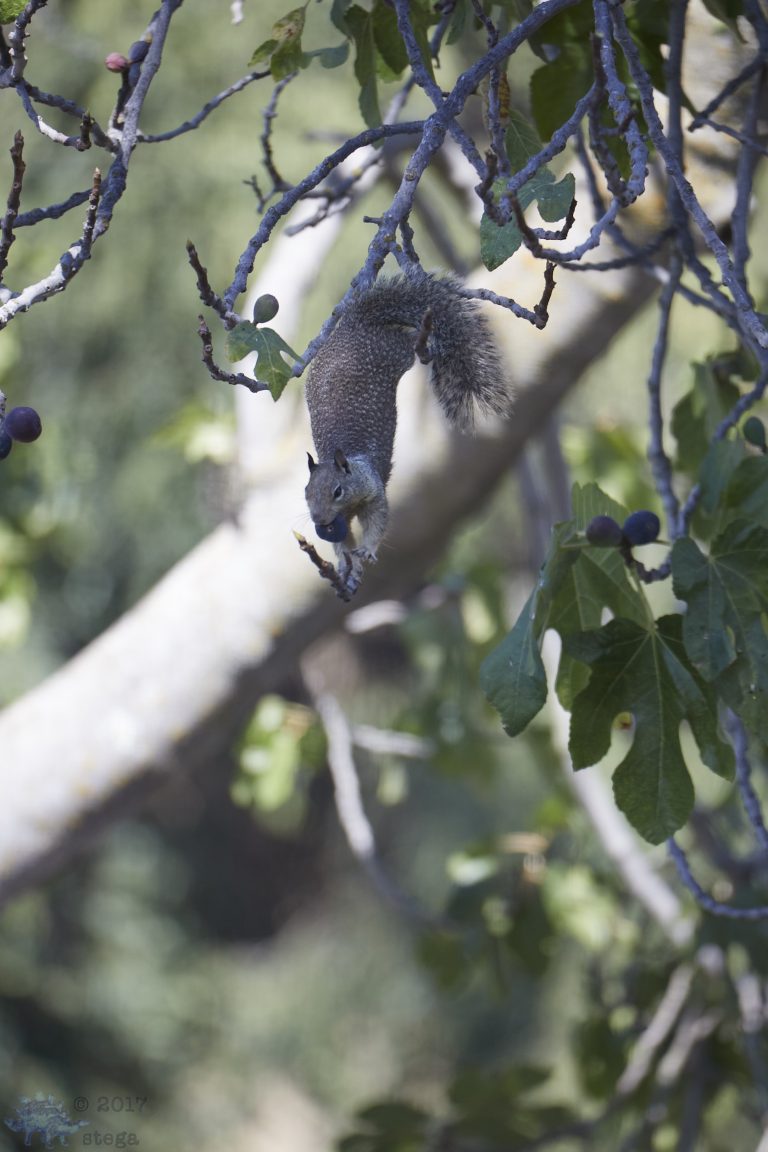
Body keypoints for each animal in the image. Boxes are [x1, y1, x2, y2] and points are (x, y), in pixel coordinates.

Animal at [304, 267, 512, 597]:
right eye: (306, 493)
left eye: (338, 490)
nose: (319, 519)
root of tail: (353, 326)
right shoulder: (341, 521)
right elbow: (343, 542)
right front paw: (347, 564)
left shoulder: (374, 492)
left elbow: (378, 521)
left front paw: (367, 551)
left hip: (393, 351)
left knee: (408, 341)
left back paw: (429, 342)